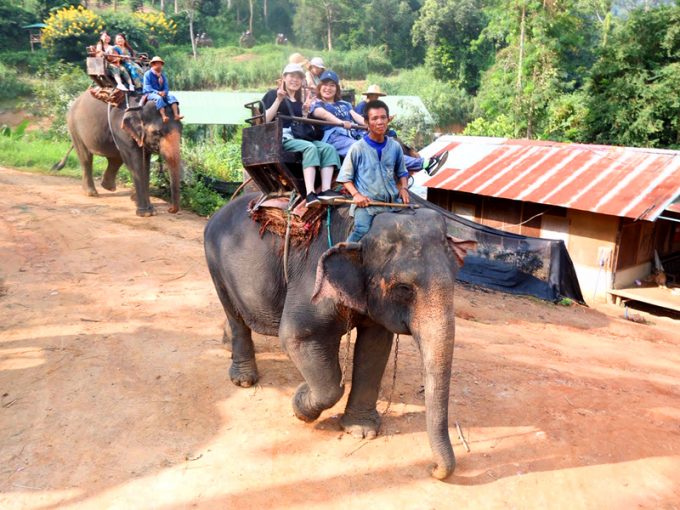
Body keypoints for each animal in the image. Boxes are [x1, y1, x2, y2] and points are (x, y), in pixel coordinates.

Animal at [205, 194, 476, 478]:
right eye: (404, 288)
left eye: (455, 279)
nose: (433, 469)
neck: (361, 230)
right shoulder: (312, 279)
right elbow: (297, 337)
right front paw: (301, 404)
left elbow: (375, 348)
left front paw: (361, 432)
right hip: (215, 262)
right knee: (234, 314)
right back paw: (244, 380)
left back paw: (227, 345)